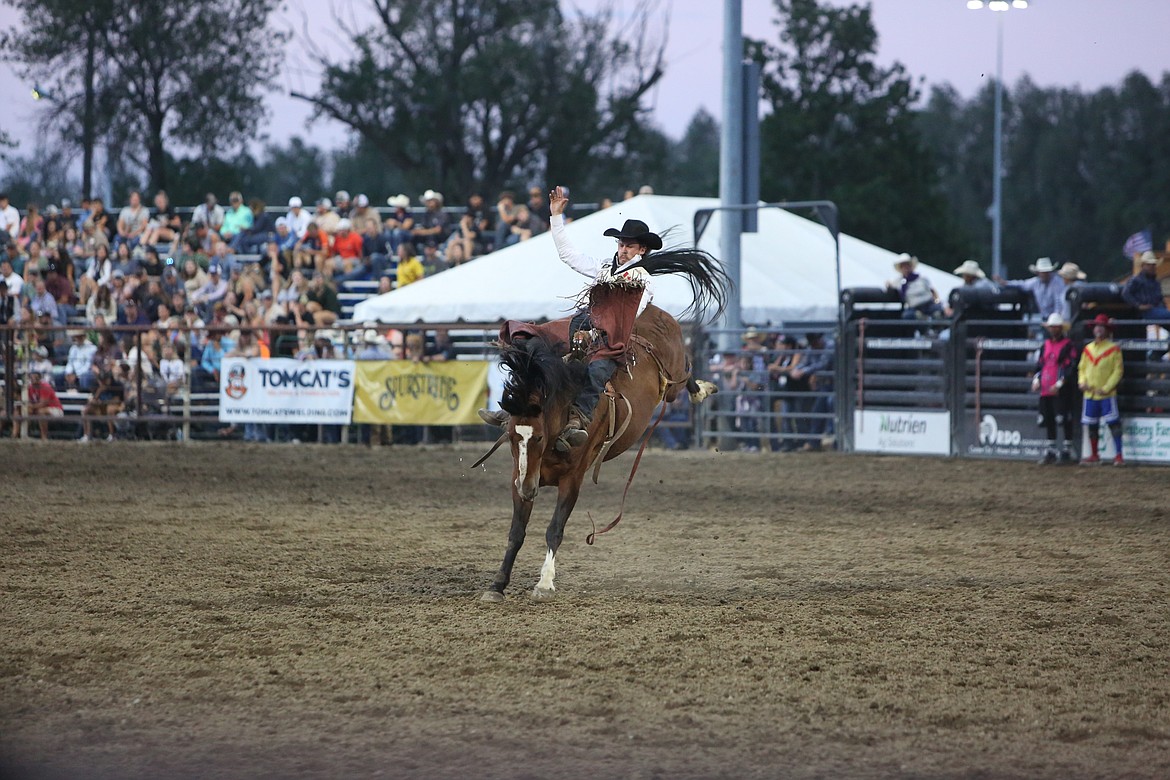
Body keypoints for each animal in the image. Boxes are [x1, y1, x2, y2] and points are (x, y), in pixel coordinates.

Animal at [477, 304, 716, 603]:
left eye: (539, 436)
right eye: (510, 436)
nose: (528, 489)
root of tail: (652, 309)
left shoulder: (572, 480)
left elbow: (554, 530)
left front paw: (544, 583)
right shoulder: (518, 477)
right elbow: (516, 533)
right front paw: (497, 585)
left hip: (672, 383)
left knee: (685, 372)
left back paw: (702, 389)